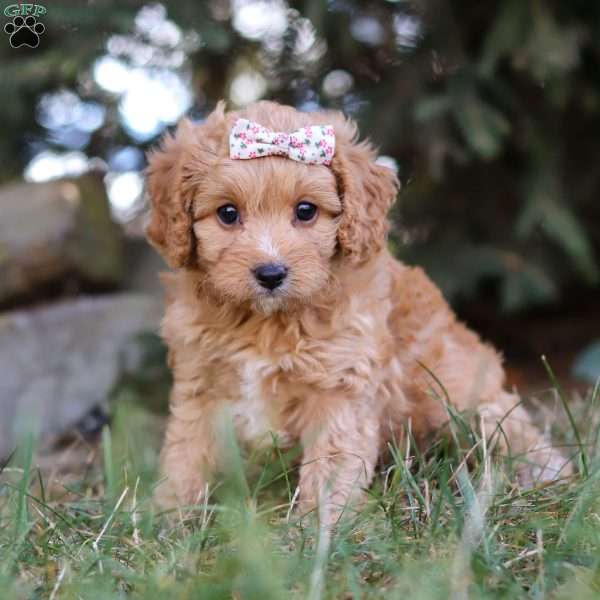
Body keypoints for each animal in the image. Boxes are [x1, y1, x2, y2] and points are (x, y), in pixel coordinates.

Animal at [148, 99, 568, 520]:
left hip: (465, 400)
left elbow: (330, 465)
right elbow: (187, 453)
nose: (270, 274)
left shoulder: (340, 387)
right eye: (227, 213)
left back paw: (545, 476)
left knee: (511, 432)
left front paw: (319, 527)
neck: (265, 322)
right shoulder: (199, 385)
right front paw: (170, 517)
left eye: (306, 210)